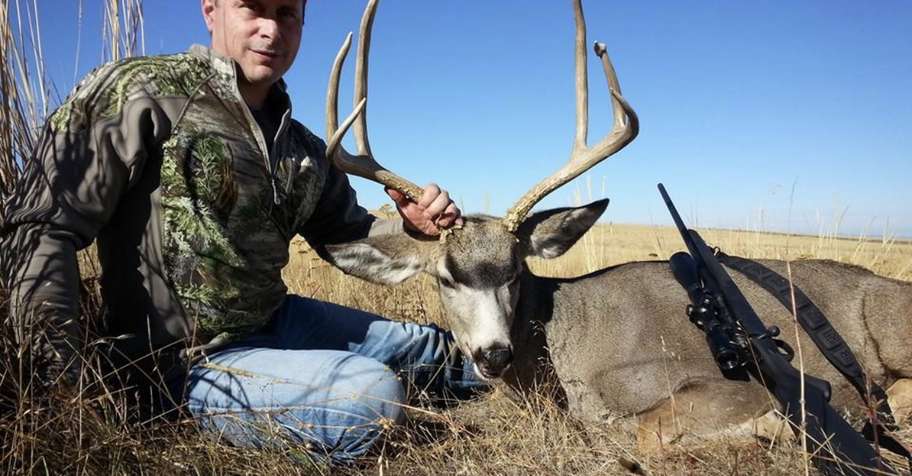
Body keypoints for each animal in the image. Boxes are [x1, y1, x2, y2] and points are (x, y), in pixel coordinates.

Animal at [320, 0, 912, 452]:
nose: (494, 354)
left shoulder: (733, 384)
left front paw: (766, 430)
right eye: (445, 277)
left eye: (515, 271)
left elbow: (638, 432)